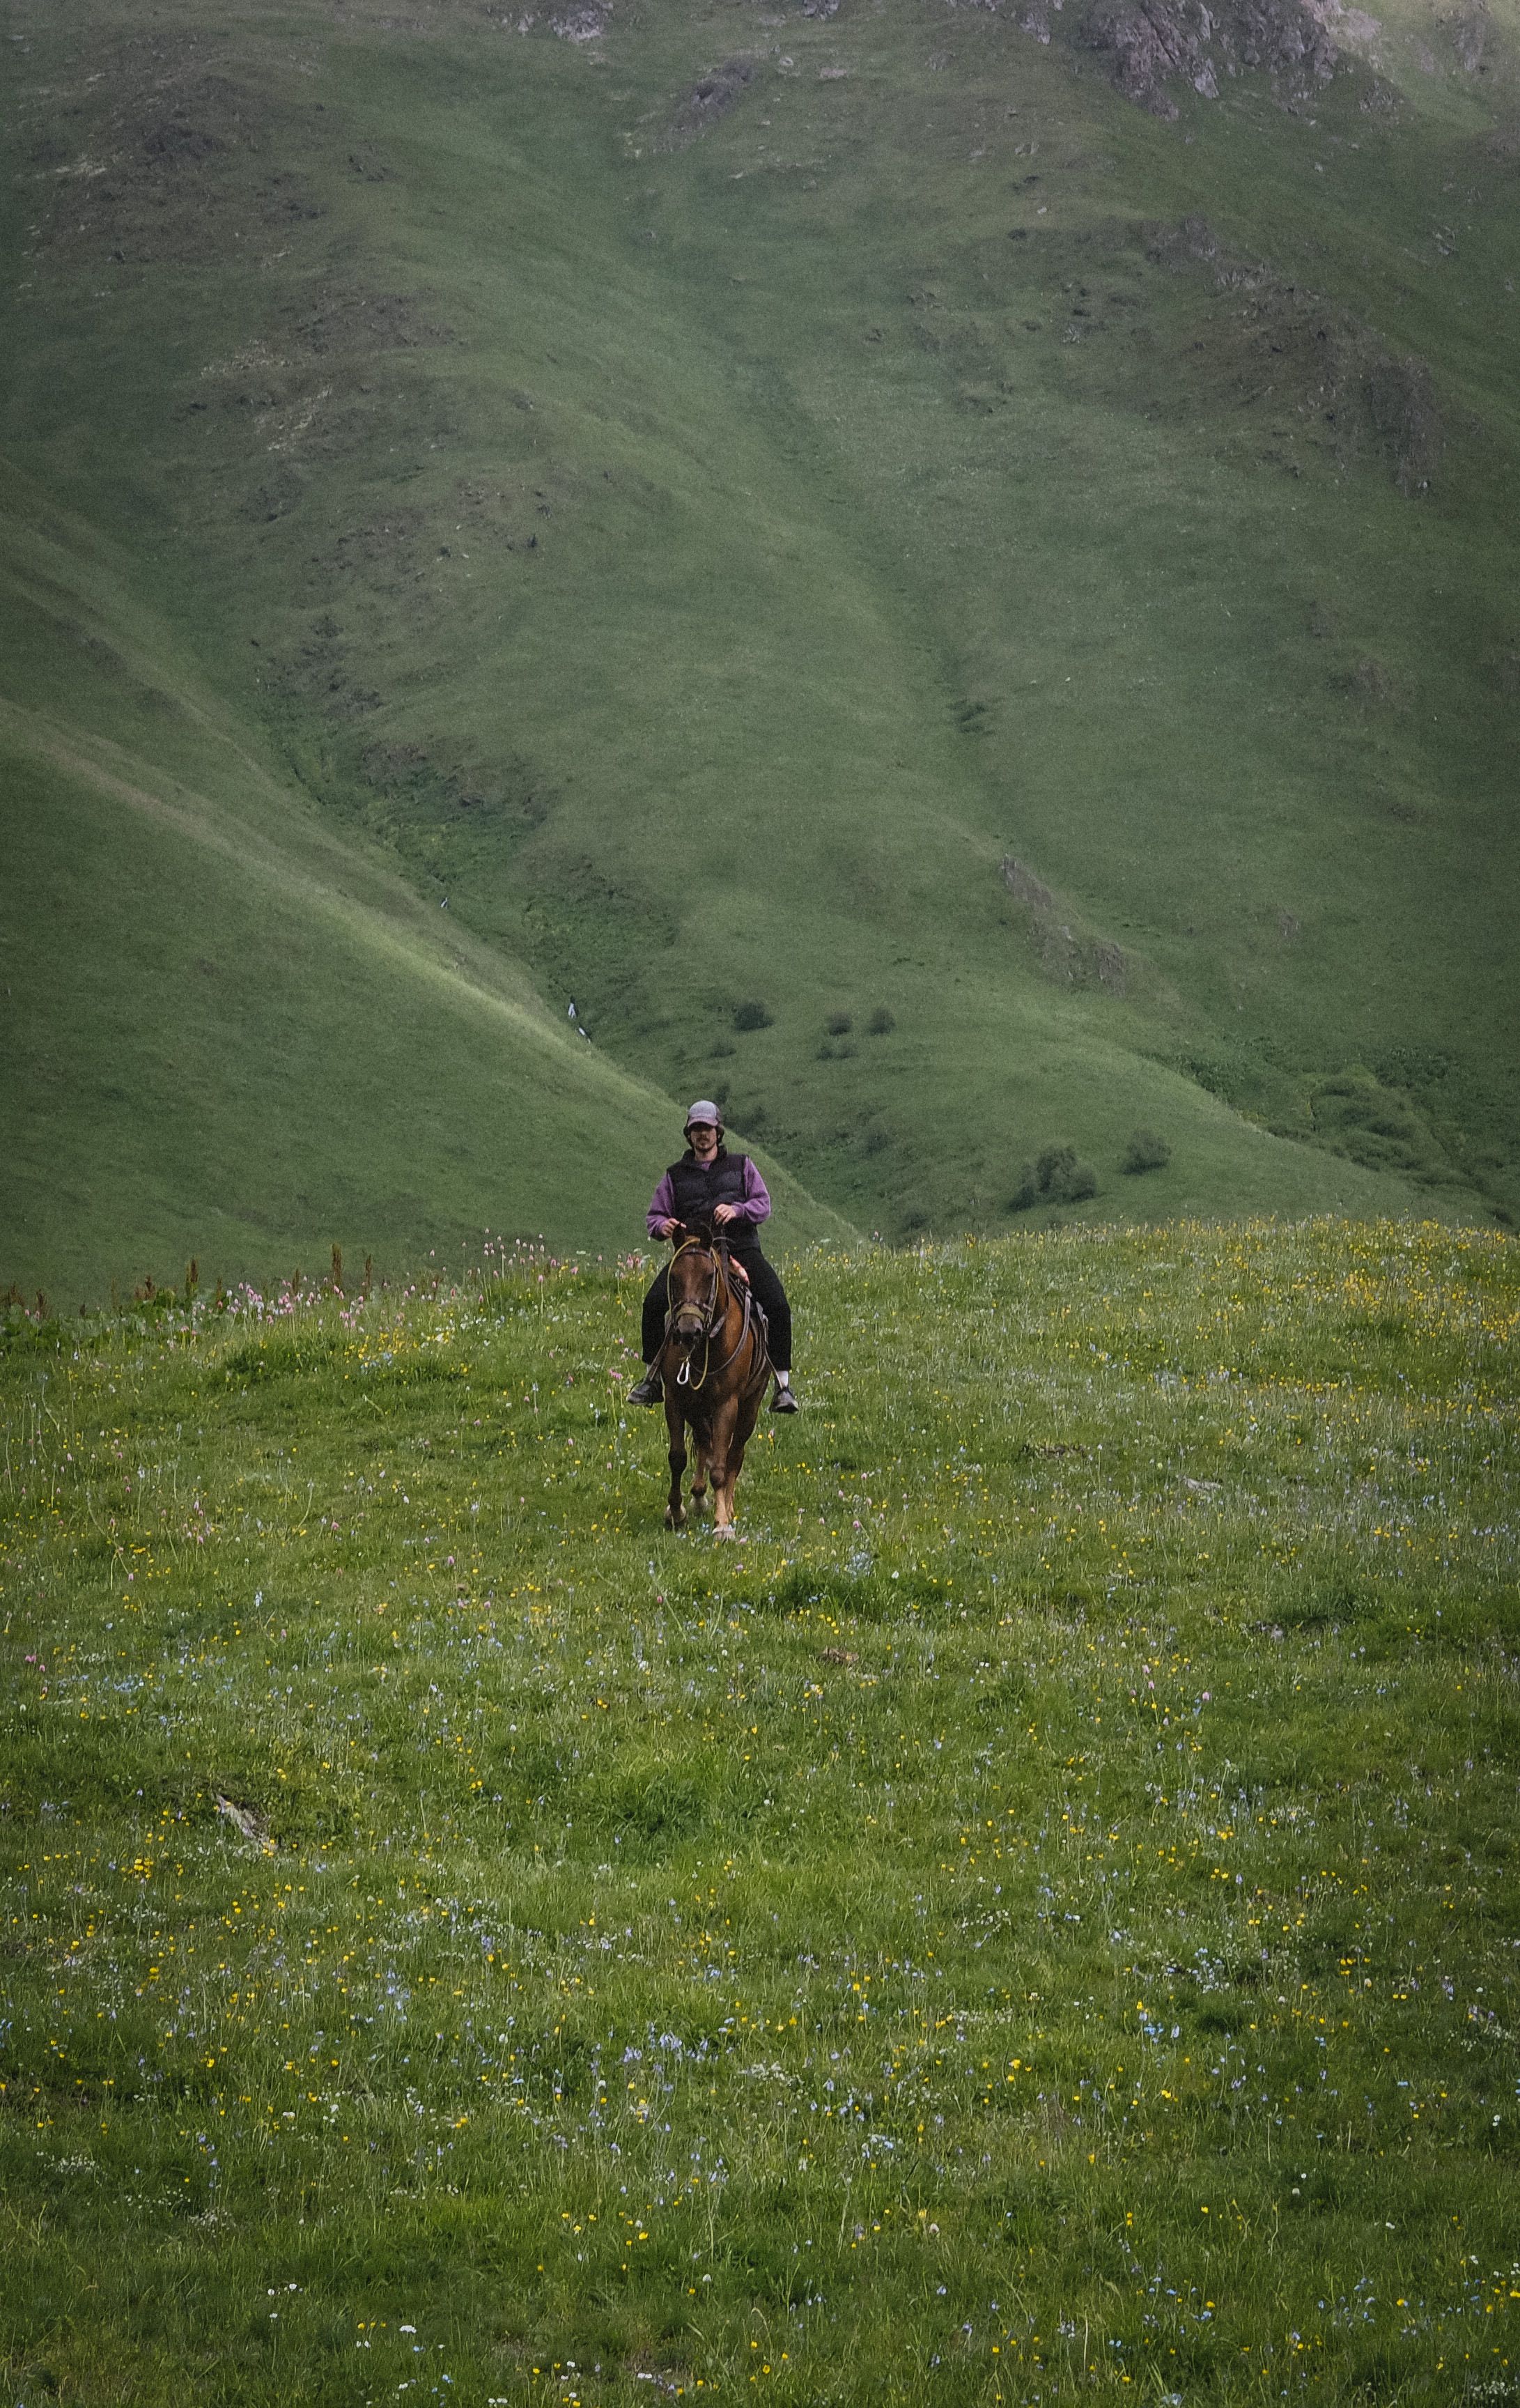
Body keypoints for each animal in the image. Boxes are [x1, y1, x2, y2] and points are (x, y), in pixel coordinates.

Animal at [658, 1225, 773, 1536]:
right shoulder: (675, 1400)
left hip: (750, 1405)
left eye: (709, 1276)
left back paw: (728, 1507)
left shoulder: (726, 1404)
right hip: (697, 1408)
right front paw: (676, 1511)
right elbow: (678, 1457)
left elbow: (721, 1466)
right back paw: (698, 1497)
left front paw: (722, 1524)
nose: (688, 1330)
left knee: (734, 1453)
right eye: (674, 1277)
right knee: (703, 1441)